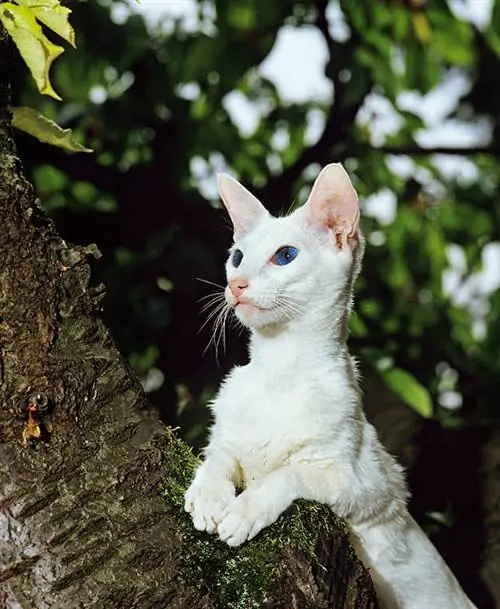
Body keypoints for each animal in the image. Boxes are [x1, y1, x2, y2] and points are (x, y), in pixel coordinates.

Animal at [184, 164, 476, 608]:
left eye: (285, 256)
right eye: (237, 257)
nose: (237, 285)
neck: (279, 370)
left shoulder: (363, 488)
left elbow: (289, 474)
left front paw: (245, 510)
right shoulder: (227, 440)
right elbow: (217, 457)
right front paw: (207, 495)